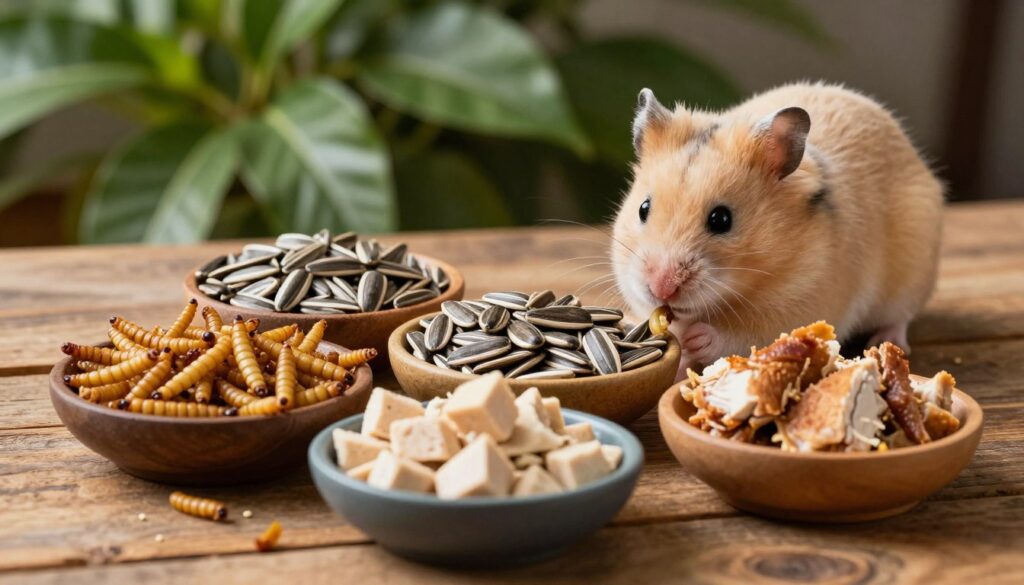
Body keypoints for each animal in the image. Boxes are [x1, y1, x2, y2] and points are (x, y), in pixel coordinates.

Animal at [611, 82, 943, 375]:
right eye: (643, 209)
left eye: (721, 219)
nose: (660, 288)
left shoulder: (802, 305)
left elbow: (745, 335)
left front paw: (697, 339)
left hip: (913, 274)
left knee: (900, 318)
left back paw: (886, 340)